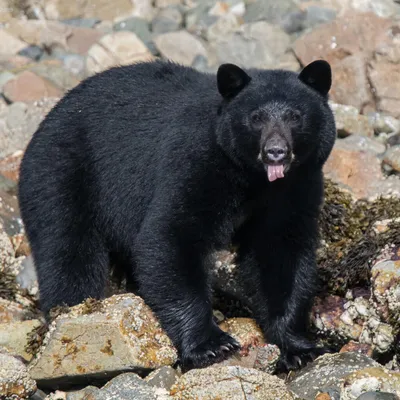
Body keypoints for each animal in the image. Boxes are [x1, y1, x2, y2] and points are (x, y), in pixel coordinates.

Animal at [19, 59, 338, 372]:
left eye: (295, 116)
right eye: (256, 117)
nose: (275, 152)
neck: (255, 181)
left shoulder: (296, 187)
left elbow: (282, 253)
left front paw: (298, 347)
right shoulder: (196, 162)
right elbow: (171, 236)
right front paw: (210, 344)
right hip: (62, 175)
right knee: (68, 252)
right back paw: (71, 310)